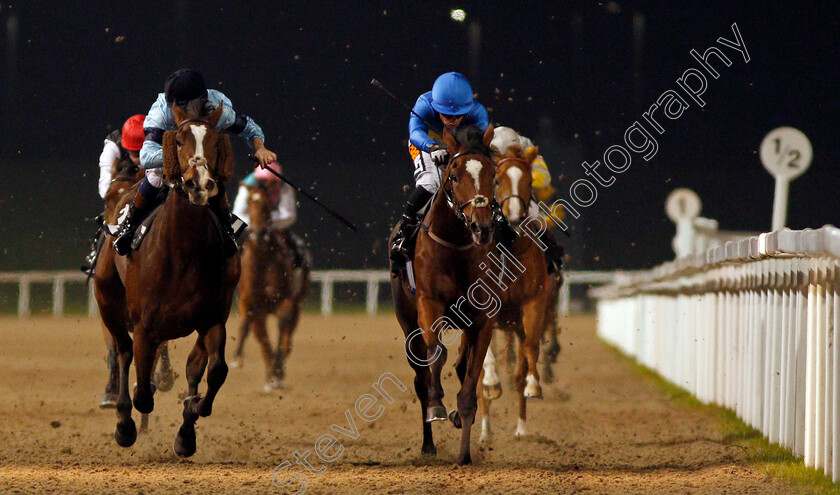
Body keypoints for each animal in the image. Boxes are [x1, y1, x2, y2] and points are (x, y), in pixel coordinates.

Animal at [94, 103, 240, 458]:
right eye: (179, 140)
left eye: (215, 142)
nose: (199, 183)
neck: (183, 251)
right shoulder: (145, 325)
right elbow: (142, 392)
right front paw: (130, 420)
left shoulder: (212, 319)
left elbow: (214, 370)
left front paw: (190, 421)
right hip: (108, 301)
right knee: (123, 353)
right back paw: (124, 423)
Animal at [231, 178, 310, 392]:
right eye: (250, 201)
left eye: (268, 205)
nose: (259, 232)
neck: (264, 260)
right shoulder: (255, 306)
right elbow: (263, 339)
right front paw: (270, 376)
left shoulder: (287, 302)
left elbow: (282, 334)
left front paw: (277, 374)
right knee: (247, 328)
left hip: (298, 303)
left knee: (288, 336)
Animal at [392, 124, 502, 464]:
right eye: (453, 175)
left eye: (493, 174)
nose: (481, 227)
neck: (456, 245)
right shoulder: (430, 304)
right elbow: (436, 354)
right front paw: (437, 405)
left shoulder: (482, 317)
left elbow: (470, 379)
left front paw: (464, 451)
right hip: (407, 323)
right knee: (420, 377)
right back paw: (428, 444)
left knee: (461, 367)